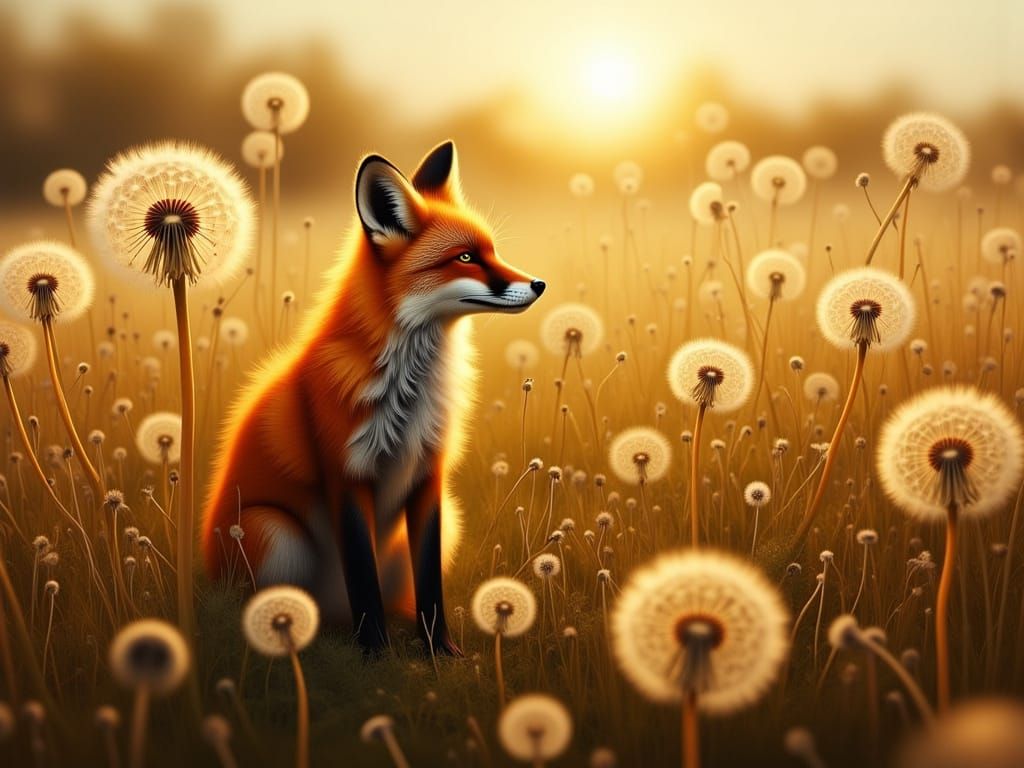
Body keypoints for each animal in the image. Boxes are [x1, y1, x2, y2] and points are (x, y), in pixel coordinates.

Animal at [201, 141, 545, 654]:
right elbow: (363, 580)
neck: (407, 394)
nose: (540, 284)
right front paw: (375, 654)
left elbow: (430, 584)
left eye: (492, 251)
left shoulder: (428, 476)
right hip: (275, 533)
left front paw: (440, 652)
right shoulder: (347, 473)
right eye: (465, 257)